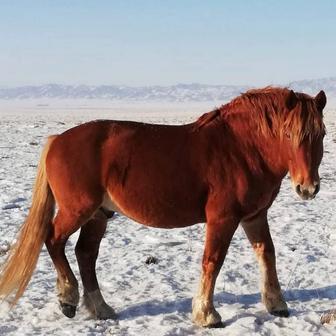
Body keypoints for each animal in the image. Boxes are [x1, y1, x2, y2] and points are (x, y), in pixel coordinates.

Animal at [0, 86, 326, 328]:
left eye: (321, 134)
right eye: (288, 134)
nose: (307, 188)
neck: (241, 149)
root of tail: (57, 141)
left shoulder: (254, 216)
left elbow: (267, 253)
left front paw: (277, 304)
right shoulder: (222, 218)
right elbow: (213, 261)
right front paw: (207, 315)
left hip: (98, 215)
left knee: (85, 254)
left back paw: (101, 308)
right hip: (77, 209)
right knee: (54, 239)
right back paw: (68, 297)